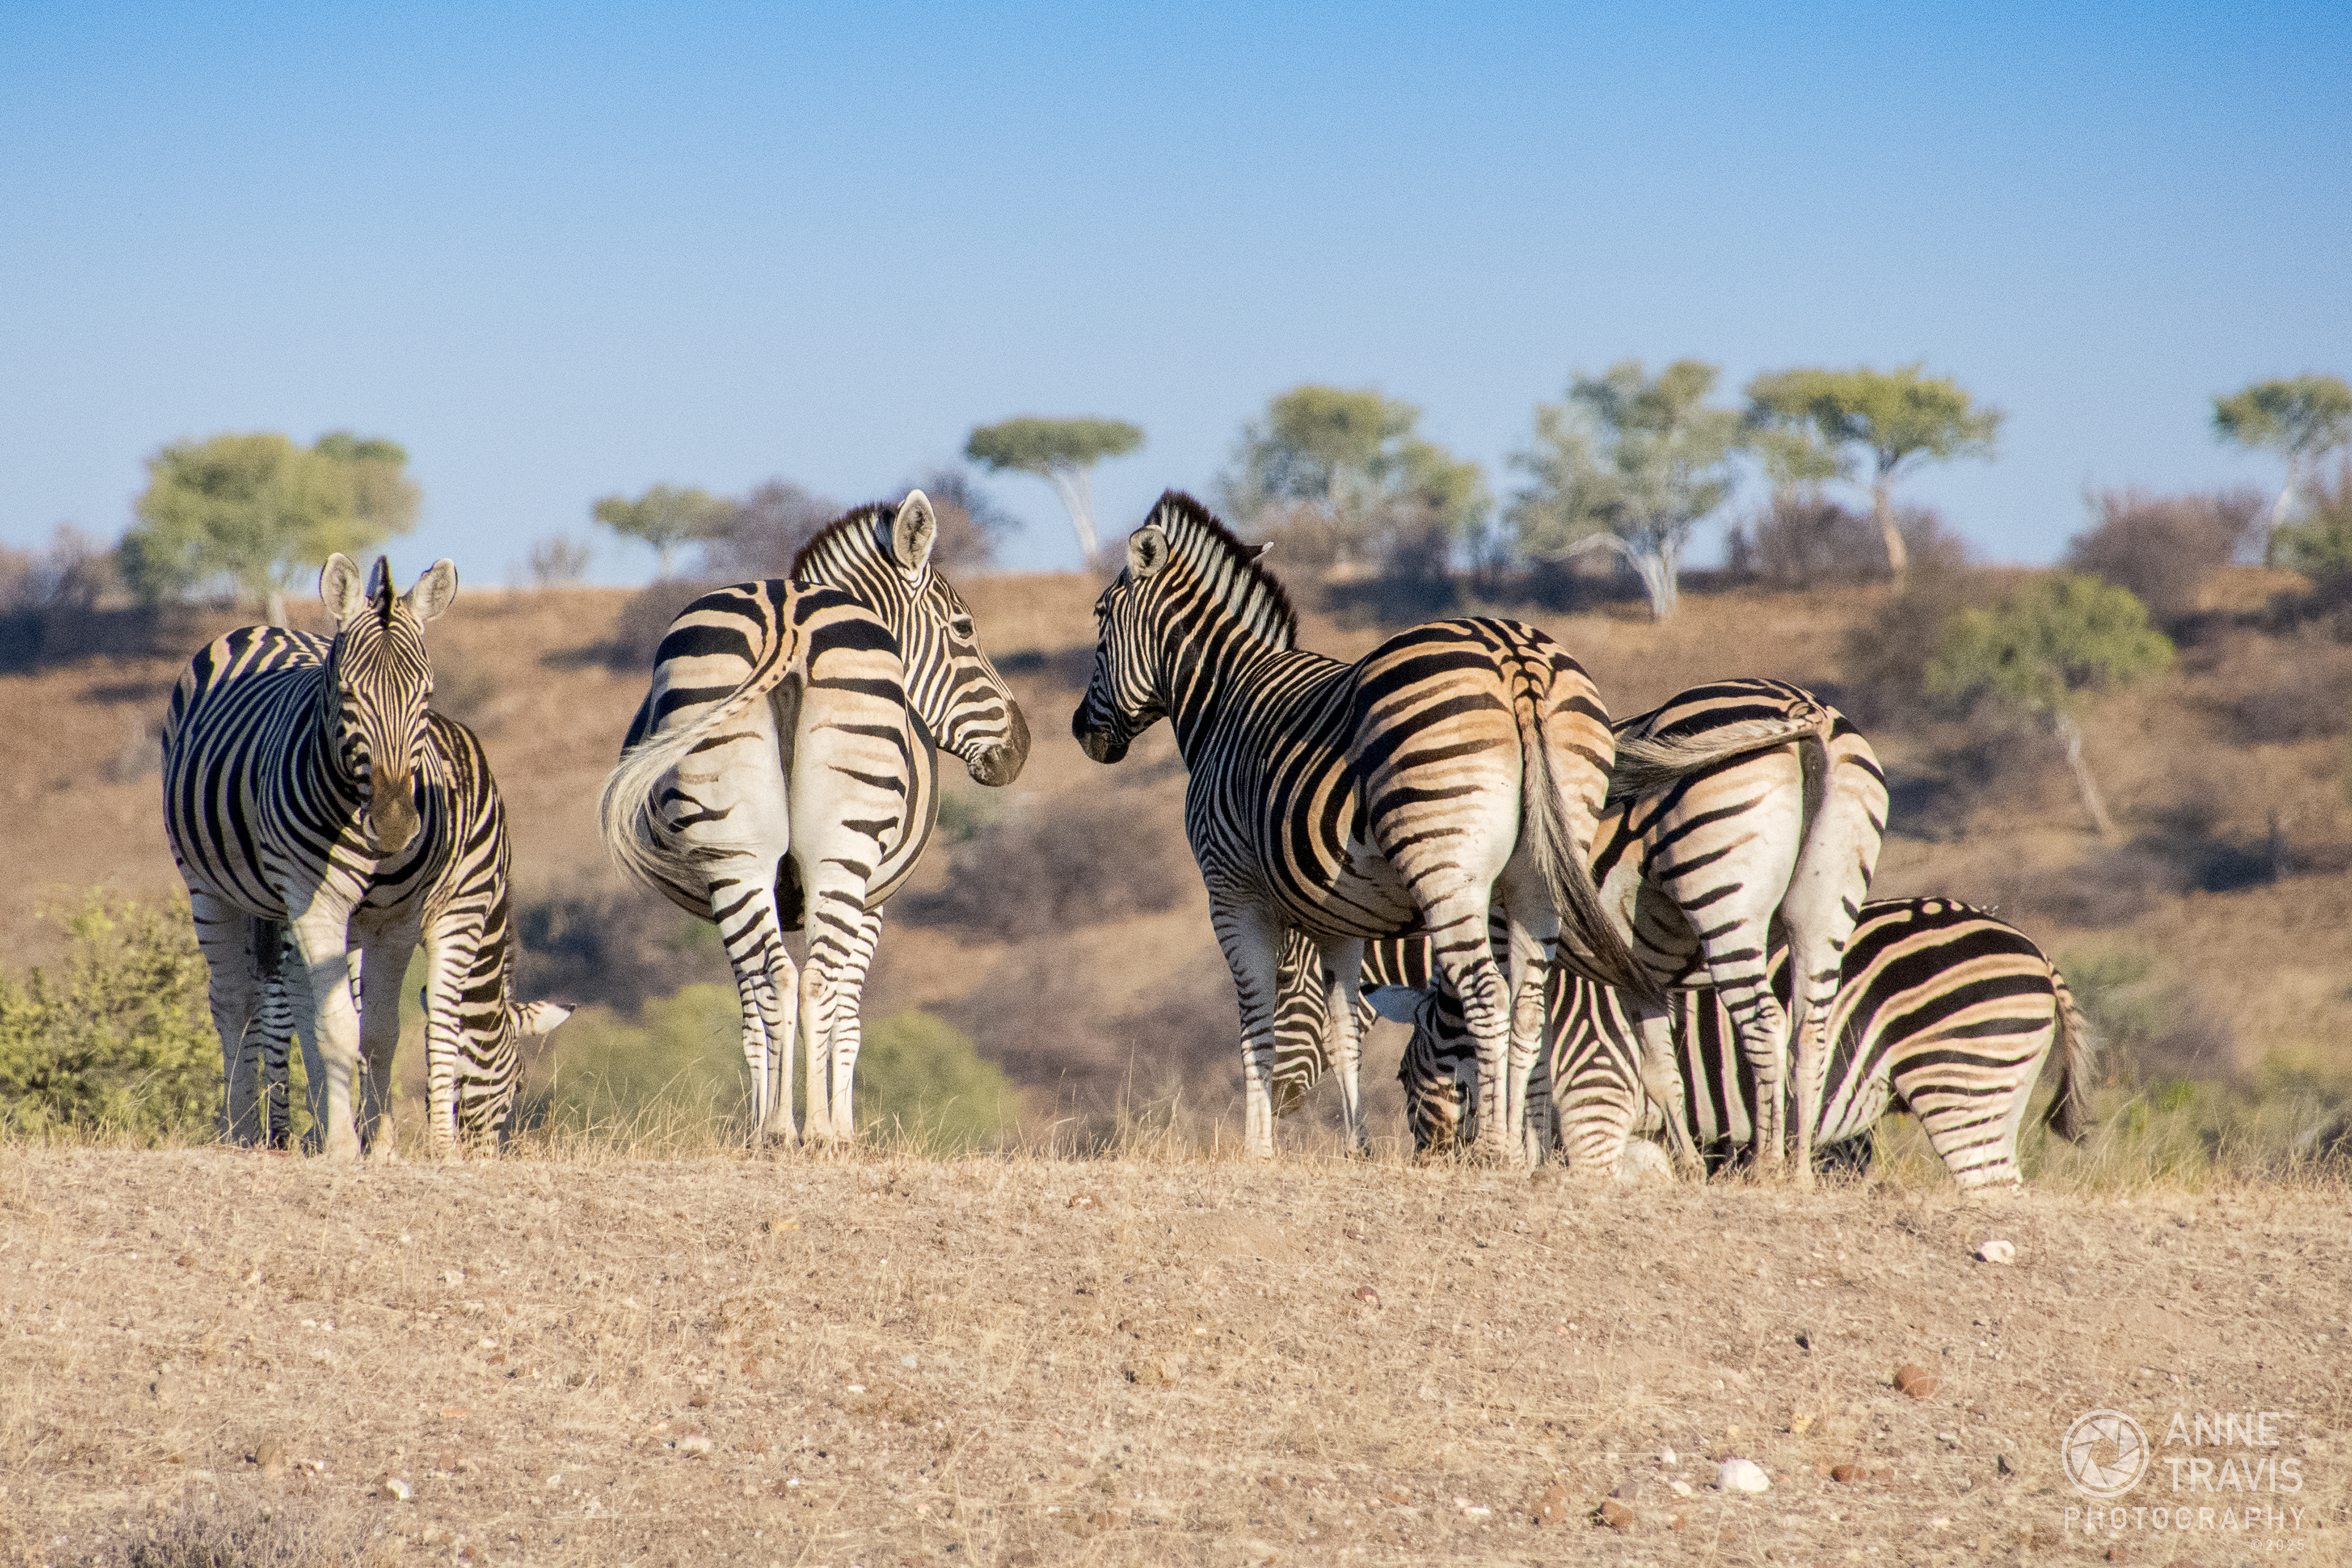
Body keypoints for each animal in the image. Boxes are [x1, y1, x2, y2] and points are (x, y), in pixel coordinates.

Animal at [163, 555, 462, 1159]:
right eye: (347, 693)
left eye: (426, 695)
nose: (395, 823)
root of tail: (264, 627)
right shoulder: (315, 899)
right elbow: (338, 1029)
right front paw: (346, 1148)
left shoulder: (395, 921)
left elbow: (379, 1033)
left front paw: (380, 1145)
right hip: (209, 887)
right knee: (234, 1001)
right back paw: (242, 1129)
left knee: (300, 1003)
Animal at [600, 492, 1029, 1145]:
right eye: (964, 629)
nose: (1020, 748)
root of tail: (784, 616)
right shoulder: (875, 898)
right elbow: (847, 1015)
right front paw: (843, 1130)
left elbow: (755, 1015)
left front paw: (764, 1122)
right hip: (842, 851)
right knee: (818, 981)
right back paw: (818, 1131)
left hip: (734, 850)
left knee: (776, 978)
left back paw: (780, 1130)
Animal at [1072, 492, 1653, 1161]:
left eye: (1099, 623)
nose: (1081, 732)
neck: (1222, 702)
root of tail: (1516, 657)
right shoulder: (1338, 918)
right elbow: (1343, 1026)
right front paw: (1357, 1148)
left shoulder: (1232, 892)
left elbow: (1254, 1020)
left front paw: (1257, 1150)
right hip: (1540, 870)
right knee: (1529, 1001)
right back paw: (1519, 1150)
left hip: (1445, 866)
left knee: (1487, 994)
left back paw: (1494, 1148)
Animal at [1401, 898, 2095, 1189]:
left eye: (1405, 1084)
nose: (1424, 1161)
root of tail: (2034, 950)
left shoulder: (1597, 1088)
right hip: (1993, 1094)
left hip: (1961, 1081)